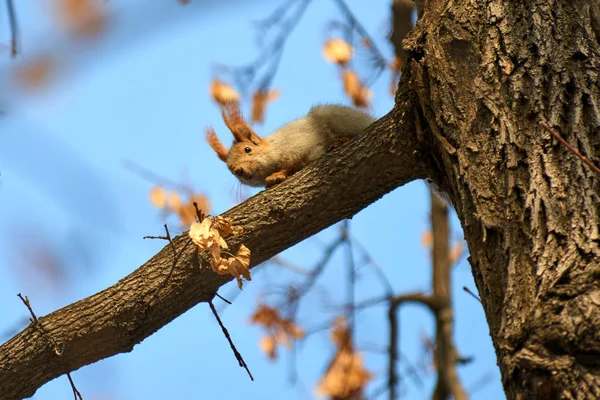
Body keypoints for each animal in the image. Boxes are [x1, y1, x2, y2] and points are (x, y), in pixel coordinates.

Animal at [209, 105, 372, 188]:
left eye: (247, 149)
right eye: (231, 170)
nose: (239, 171)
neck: (274, 147)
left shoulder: (301, 146)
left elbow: (296, 163)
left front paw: (277, 175)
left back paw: (341, 141)